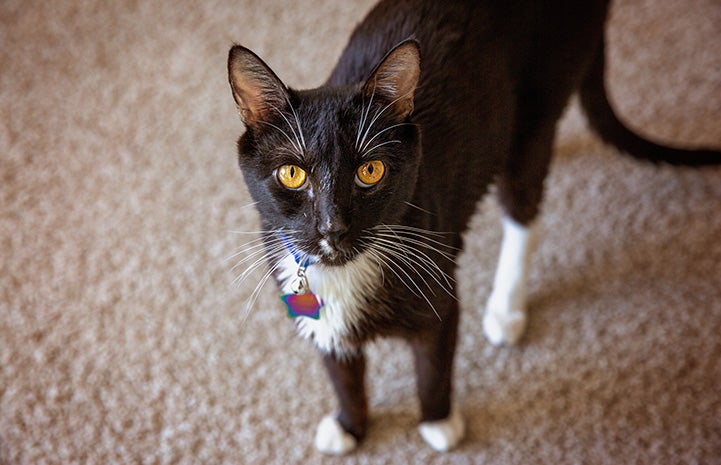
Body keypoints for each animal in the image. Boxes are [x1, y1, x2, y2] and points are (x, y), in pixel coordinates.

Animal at [226, 0, 720, 454]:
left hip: (536, 107)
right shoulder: (306, 297)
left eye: (370, 171)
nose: (333, 227)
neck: (345, 271)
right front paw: (350, 426)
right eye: (292, 174)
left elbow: (434, 363)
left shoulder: (437, 285)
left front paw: (439, 424)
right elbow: (340, 368)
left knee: (524, 204)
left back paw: (506, 307)